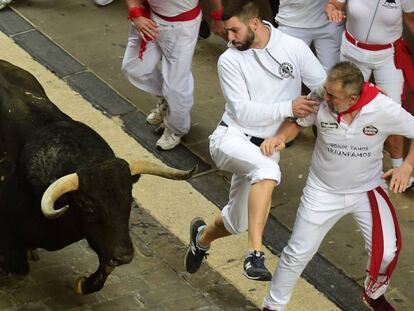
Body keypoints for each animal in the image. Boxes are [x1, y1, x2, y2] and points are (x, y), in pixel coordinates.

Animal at [0, 59, 196, 296]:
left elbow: (102, 271)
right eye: (89, 209)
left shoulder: (106, 239)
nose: (125, 256)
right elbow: (18, 269)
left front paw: (83, 282)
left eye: (129, 202)